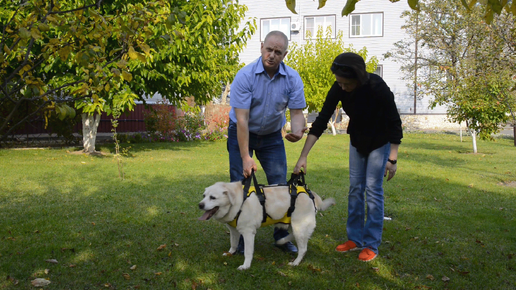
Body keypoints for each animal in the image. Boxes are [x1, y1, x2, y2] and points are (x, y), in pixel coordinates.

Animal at [198, 181, 334, 270]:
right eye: (204, 196)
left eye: (213, 197)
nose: (200, 205)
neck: (238, 200)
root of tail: (311, 193)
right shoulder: (233, 230)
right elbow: (233, 243)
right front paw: (230, 253)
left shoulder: (248, 233)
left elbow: (248, 252)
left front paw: (246, 266)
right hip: (293, 225)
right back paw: (282, 241)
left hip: (299, 226)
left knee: (303, 249)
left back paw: (295, 263)